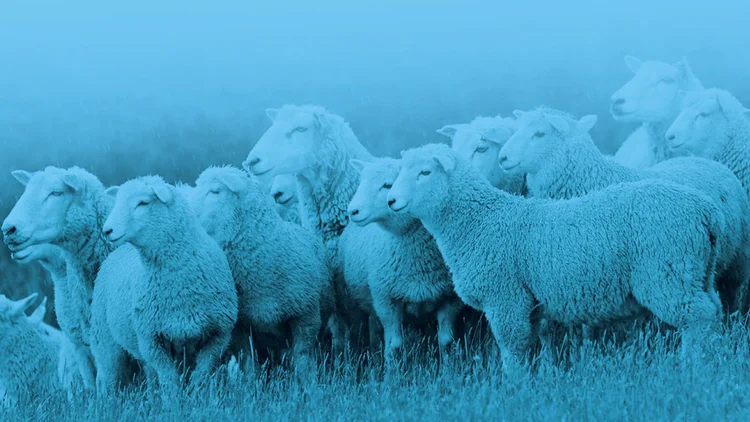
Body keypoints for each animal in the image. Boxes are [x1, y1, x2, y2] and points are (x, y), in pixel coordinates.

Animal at [100, 175, 238, 391]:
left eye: (143, 203)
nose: (107, 230)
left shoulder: (217, 335)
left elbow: (200, 376)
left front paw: (197, 396)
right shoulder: (151, 339)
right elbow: (170, 381)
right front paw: (173, 400)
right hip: (106, 341)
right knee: (108, 379)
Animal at [188, 165, 331, 371]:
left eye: (215, 191)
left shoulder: (306, 315)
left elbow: (302, 357)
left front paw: (306, 378)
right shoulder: (241, 326)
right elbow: (248, 361)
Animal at [346, 157, 464, 361]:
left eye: (387, 185)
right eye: (361, 182)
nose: (353, 211)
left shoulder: (449, 298)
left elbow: (446, 341)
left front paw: (449, 366)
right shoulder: (386, 300)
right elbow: (394, 345)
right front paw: (392, 369)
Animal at [386, 143, 723, 375]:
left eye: (425, 172)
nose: (391, 201)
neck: (480, 220)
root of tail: (705, 210)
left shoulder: (505, 297)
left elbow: (512, 348)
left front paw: (513, 386)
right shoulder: (528, 303)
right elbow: (529, 345)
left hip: (667, 271)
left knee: (698, 317)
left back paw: (692, 367)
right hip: (697, 272)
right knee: (714, 310)